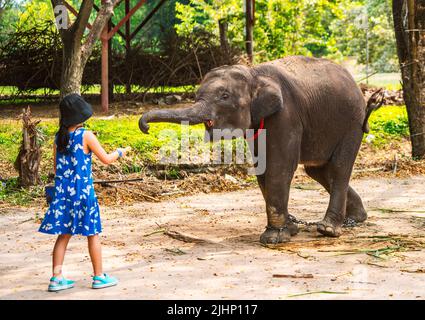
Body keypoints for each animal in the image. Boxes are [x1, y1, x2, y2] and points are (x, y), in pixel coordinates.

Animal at [137, 56, 382, 244]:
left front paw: (274, 238)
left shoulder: (286, 116)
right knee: (319, 171)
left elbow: (279, 167)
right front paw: (290, 229)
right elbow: (262, 168)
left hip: (352, 123)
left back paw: (328, 229)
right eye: (197, 94)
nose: (145, 127)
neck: (254, 74)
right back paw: (356, 218)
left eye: (224, 96)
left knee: (339, 168)